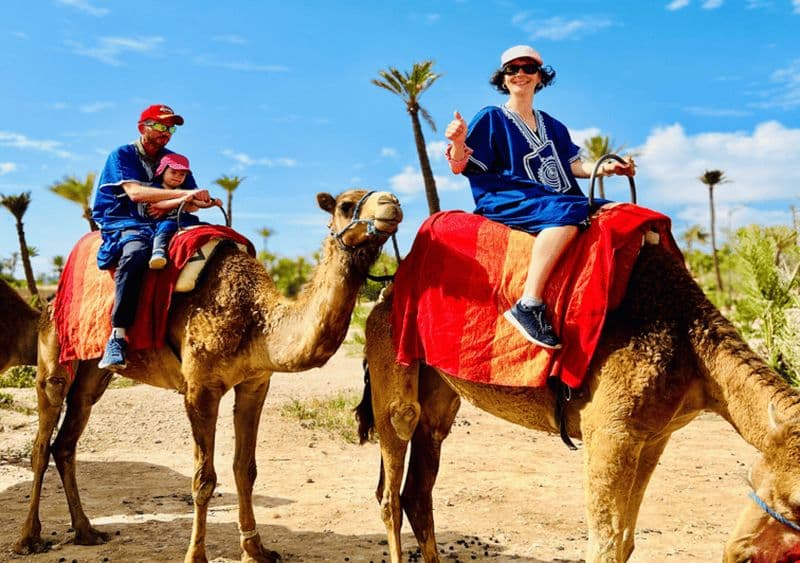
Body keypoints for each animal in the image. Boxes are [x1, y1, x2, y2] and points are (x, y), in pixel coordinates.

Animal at [14, 189, 403, 563]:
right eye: (346, 204)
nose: (393, 204)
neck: (257, 319)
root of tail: (52, 297)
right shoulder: (200, 388)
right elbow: (203, 478)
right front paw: (196, 555)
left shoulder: (255, 383)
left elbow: (245, 469)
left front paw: (256, 549)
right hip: (54, 352)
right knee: (42, 439)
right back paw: (27, 538)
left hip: (94, 373)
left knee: (67, 439)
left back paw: (86, 531)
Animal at [356, 241, 800, 563]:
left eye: (750, 474)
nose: (736, 554)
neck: (691, 347)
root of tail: (382, 294)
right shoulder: (609, 431)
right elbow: (603, 544)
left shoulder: (654, 436)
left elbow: (625, 541)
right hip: (391, 362)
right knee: (391, 484)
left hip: (440, 394)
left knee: (419, 486)